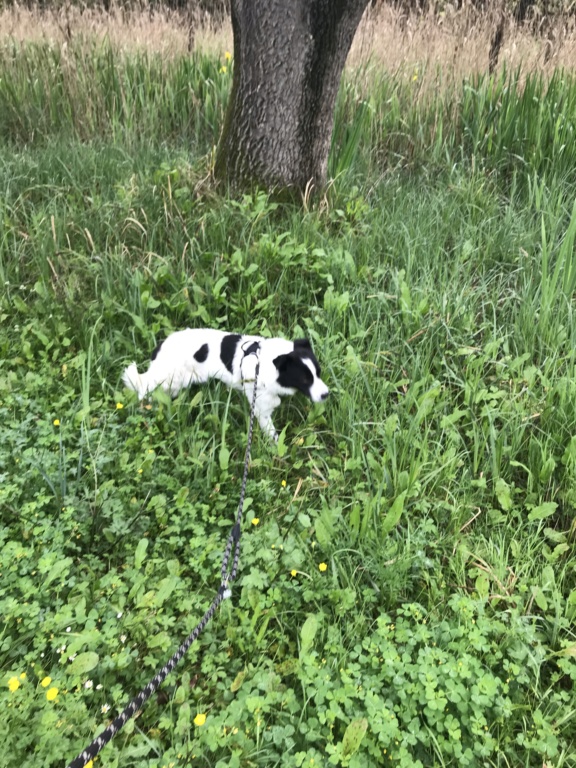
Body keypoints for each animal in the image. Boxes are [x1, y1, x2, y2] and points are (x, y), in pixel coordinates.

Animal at [122, 328, 328, 440]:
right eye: (305, 380)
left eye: (318, 373)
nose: (326, 395)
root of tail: (160, 348)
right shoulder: (261, 408)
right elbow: (271, 433)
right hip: (164, 380)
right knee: (144, 390)